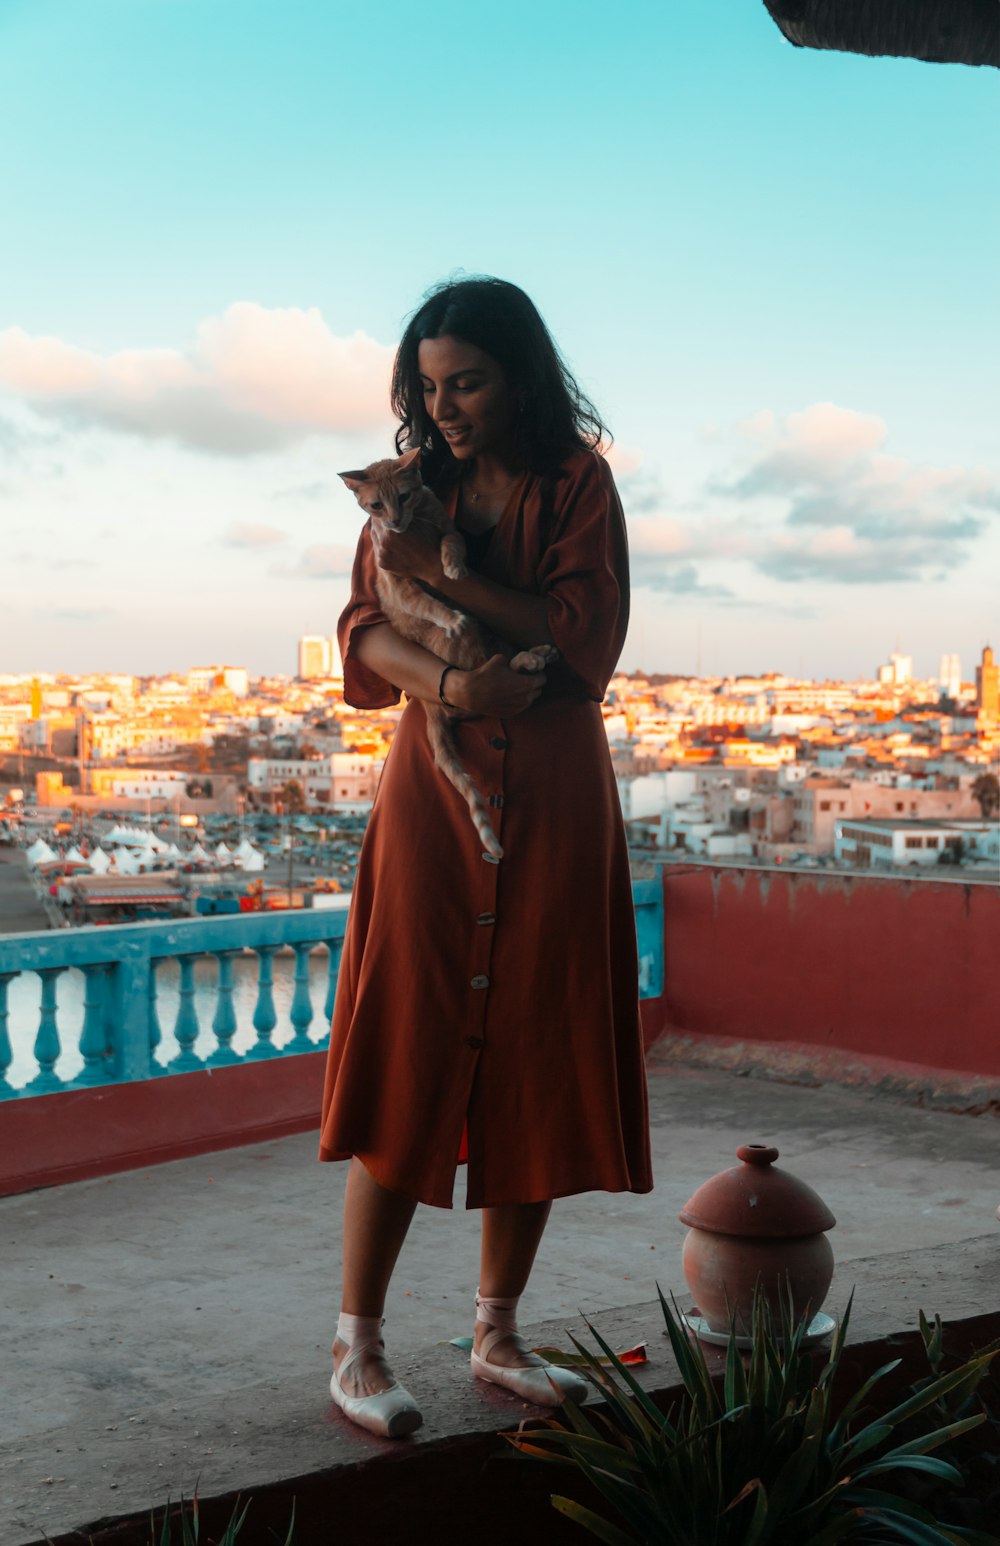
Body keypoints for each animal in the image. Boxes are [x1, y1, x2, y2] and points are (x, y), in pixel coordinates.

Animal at [338, 448, 556, 865]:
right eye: (376, 505)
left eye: (404, 496)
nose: (394, 521)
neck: (415, 524)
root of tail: (428, 704)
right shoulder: (398, 585)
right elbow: (428, 603)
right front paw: (450, 615)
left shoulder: (447, 530)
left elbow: (452, 543)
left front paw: (452, 566)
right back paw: (529, 659)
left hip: (491, 635)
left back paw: (535, 656)